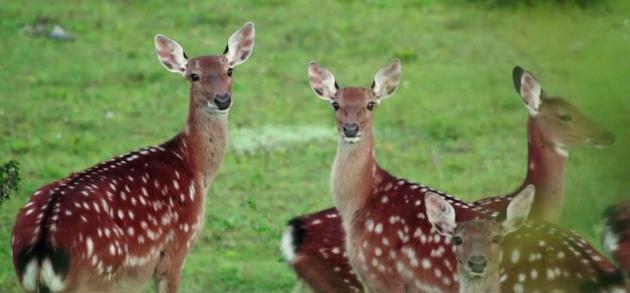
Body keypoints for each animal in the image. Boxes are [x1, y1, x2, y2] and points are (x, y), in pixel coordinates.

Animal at [11, 22, 256, 292]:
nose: (222, 99)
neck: (194, 166)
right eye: (194, 75)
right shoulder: (178, 244)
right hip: (95, 277)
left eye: (229, 70)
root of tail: (42, 247)